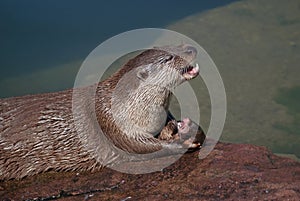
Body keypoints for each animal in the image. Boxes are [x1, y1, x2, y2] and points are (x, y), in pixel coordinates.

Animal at [0, 44, 204, 180]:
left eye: (178, 45)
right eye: (168, 59)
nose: (191, 48)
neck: (128, 105)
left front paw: (188, 128)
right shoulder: (112, 123)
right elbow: (142, 146)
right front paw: (182, 143)